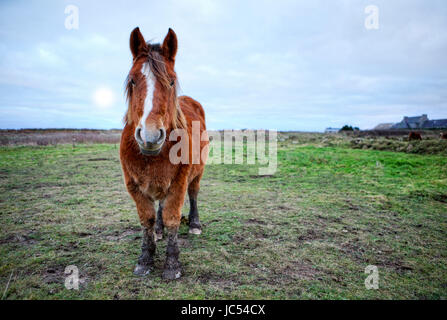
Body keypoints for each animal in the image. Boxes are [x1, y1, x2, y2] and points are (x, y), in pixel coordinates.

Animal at [120, 27, 209, 278]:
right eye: (132, 80)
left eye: (170, 81)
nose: (150, 136)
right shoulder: (133, 185)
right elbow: (147, 219)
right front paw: (145, 258)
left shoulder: (178, 182)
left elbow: (172, 218)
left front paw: (172, 264)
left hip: (197, 174)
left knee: (194, 193)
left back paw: (195, 225)